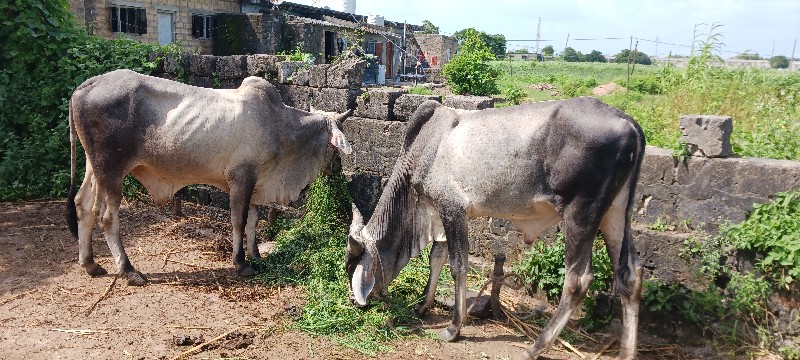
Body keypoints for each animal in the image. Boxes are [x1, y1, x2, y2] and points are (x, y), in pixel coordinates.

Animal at [67, 69, 354, 286]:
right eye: (337, 146)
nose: (339, 168)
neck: (280, 126)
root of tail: (86, 85)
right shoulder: (241, 179)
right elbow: (239, 221)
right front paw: (241, 262)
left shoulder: (256, 182)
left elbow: (254, 220)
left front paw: (256, 255)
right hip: (112, 171)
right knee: (107, 217)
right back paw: (128, 271)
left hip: (95, 168)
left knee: (84, 206)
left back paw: (90, 264)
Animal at [346, 97, 648, 358]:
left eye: (353, 268)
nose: (354, 303)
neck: (426, 148)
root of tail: (628, 122)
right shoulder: (440, 214)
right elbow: (436, 258)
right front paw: (423, 306)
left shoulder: (453, 209)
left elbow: (457, 265)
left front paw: (454, 327)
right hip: (615, 212)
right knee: (631, 274)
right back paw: (626, 351)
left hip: (582, 213)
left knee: (578, 280)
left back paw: (535, 347)